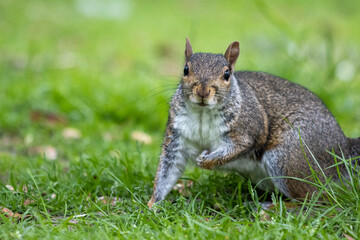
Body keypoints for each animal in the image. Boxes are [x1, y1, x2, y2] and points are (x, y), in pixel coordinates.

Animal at [147, 38, 360, 208]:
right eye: (186, 70)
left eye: (227, 74)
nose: (203, 91)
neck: (202, 113)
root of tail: (341, 147)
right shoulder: (177, 137)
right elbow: (167, 171)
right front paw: (152, 204)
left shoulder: (248, 128)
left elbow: (241, 146)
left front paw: (207, 161)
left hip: (290, 158)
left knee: (316, 199)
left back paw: (272, 207)